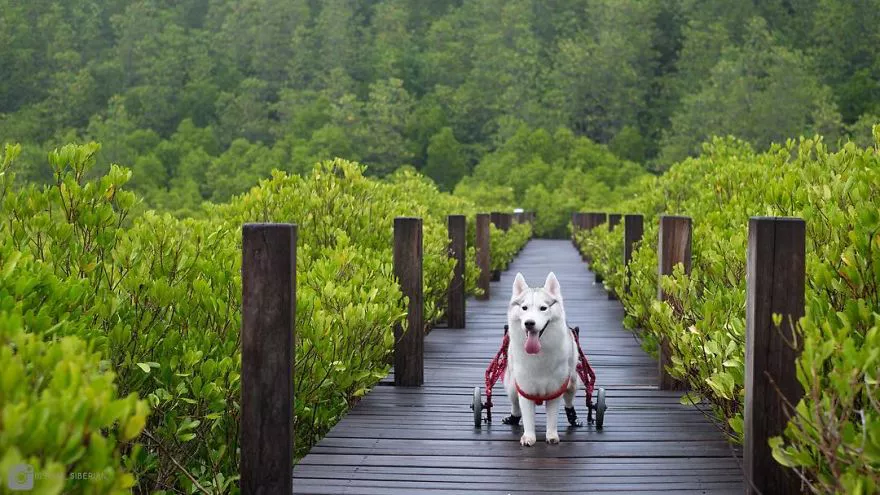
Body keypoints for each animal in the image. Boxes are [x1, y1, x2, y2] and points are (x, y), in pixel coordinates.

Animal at [502, 274, 576, 448]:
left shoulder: (556, 389)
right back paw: (513, 418)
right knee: (515, 404)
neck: (539, 357)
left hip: (573, 382)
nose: (529, 323)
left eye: (543, 308)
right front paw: (528, 437)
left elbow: (552, 418)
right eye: (524, 308)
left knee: (569, 400)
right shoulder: (525, 389)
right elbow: (527, 417)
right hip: (511, 385)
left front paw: (552, 435)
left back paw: (573, 417)